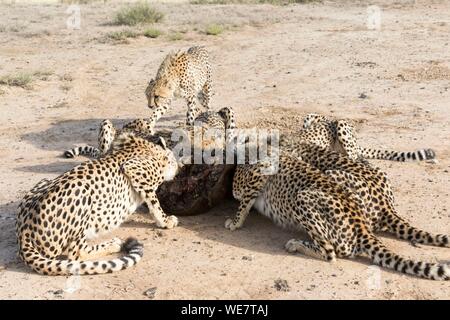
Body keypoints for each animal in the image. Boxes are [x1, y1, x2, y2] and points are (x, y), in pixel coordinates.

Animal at [17, 132, 179, 276]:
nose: (178, 168)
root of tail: (23, 233)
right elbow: (155, 202)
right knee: (77, 252)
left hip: (44, 181)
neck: (149, 147)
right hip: (81, 191)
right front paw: (166, 221)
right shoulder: (134, 170)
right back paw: (112, 244)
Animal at [227, 145, 448, 280]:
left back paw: (297, 244)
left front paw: (235, 222)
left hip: (304, 197)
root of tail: (361, 224)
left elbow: (243, 199)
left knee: (331, 252)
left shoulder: (262, 169)